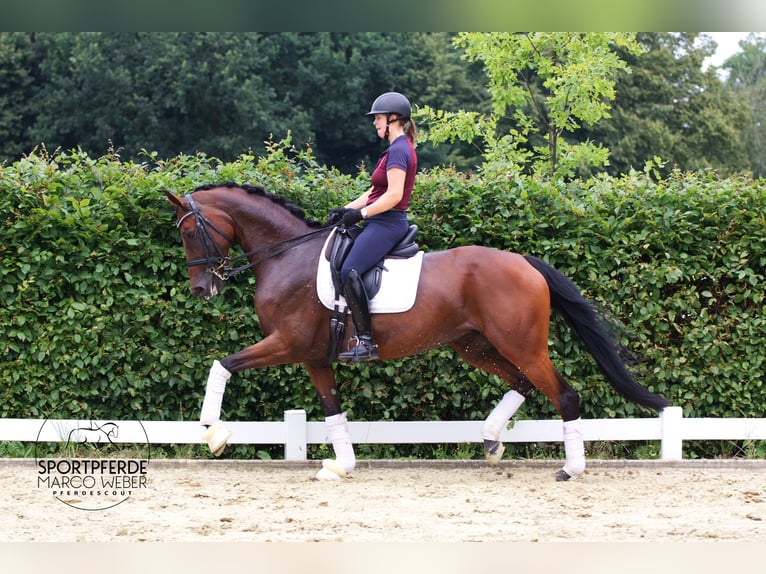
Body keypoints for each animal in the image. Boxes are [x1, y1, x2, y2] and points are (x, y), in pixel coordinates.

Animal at [165, 182, 668, 484]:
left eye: (189, 233)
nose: (201, 289)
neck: (287, 258)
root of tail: (524, 262)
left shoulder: (286, 344)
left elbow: (222, 365)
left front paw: (213, 433)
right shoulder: (313, 356)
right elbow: (332, 411)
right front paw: (341, 466)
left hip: (520, 343)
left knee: (564, 394)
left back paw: (570, 468)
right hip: (474, 345)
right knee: (522, 384)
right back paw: (491, 440)